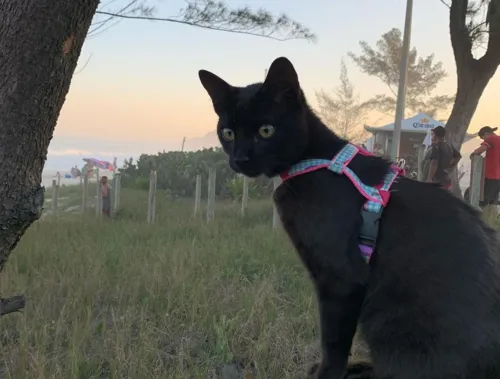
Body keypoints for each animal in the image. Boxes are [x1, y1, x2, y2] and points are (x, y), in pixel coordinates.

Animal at [197, 57, 500, 379]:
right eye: (228, 133)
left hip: (388, 322)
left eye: (266, 130)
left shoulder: (340, 280)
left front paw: (326, 375)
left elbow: (333, 341)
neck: (314, 161)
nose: (239, 158)